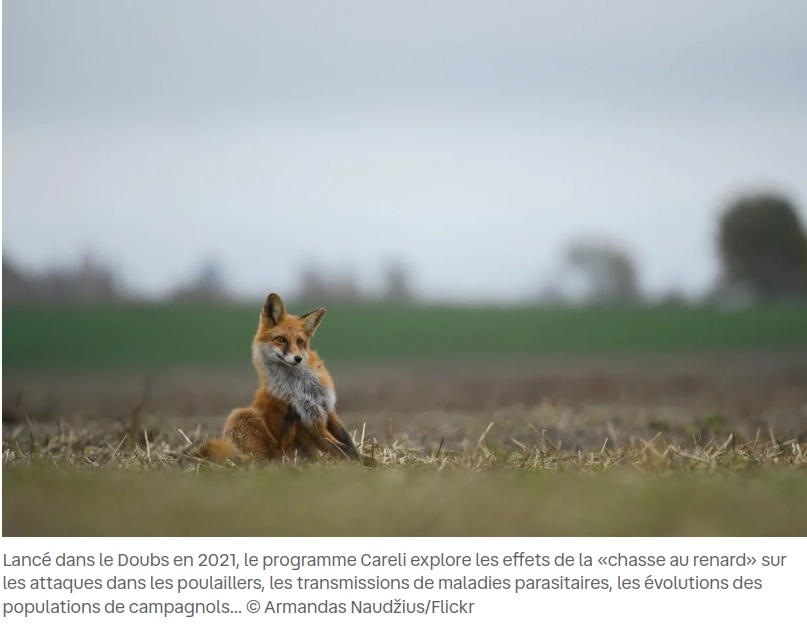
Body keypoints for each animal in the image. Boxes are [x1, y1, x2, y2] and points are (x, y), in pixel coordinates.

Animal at [192, 293, 362, 464]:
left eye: (300, 342)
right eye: (281, 339)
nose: (298, 358)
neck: (303, 385)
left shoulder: (326, 406)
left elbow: (346, 440)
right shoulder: (310, 419)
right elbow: (341, 447)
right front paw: (363, 461)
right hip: (242, 415)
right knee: (277, 451)